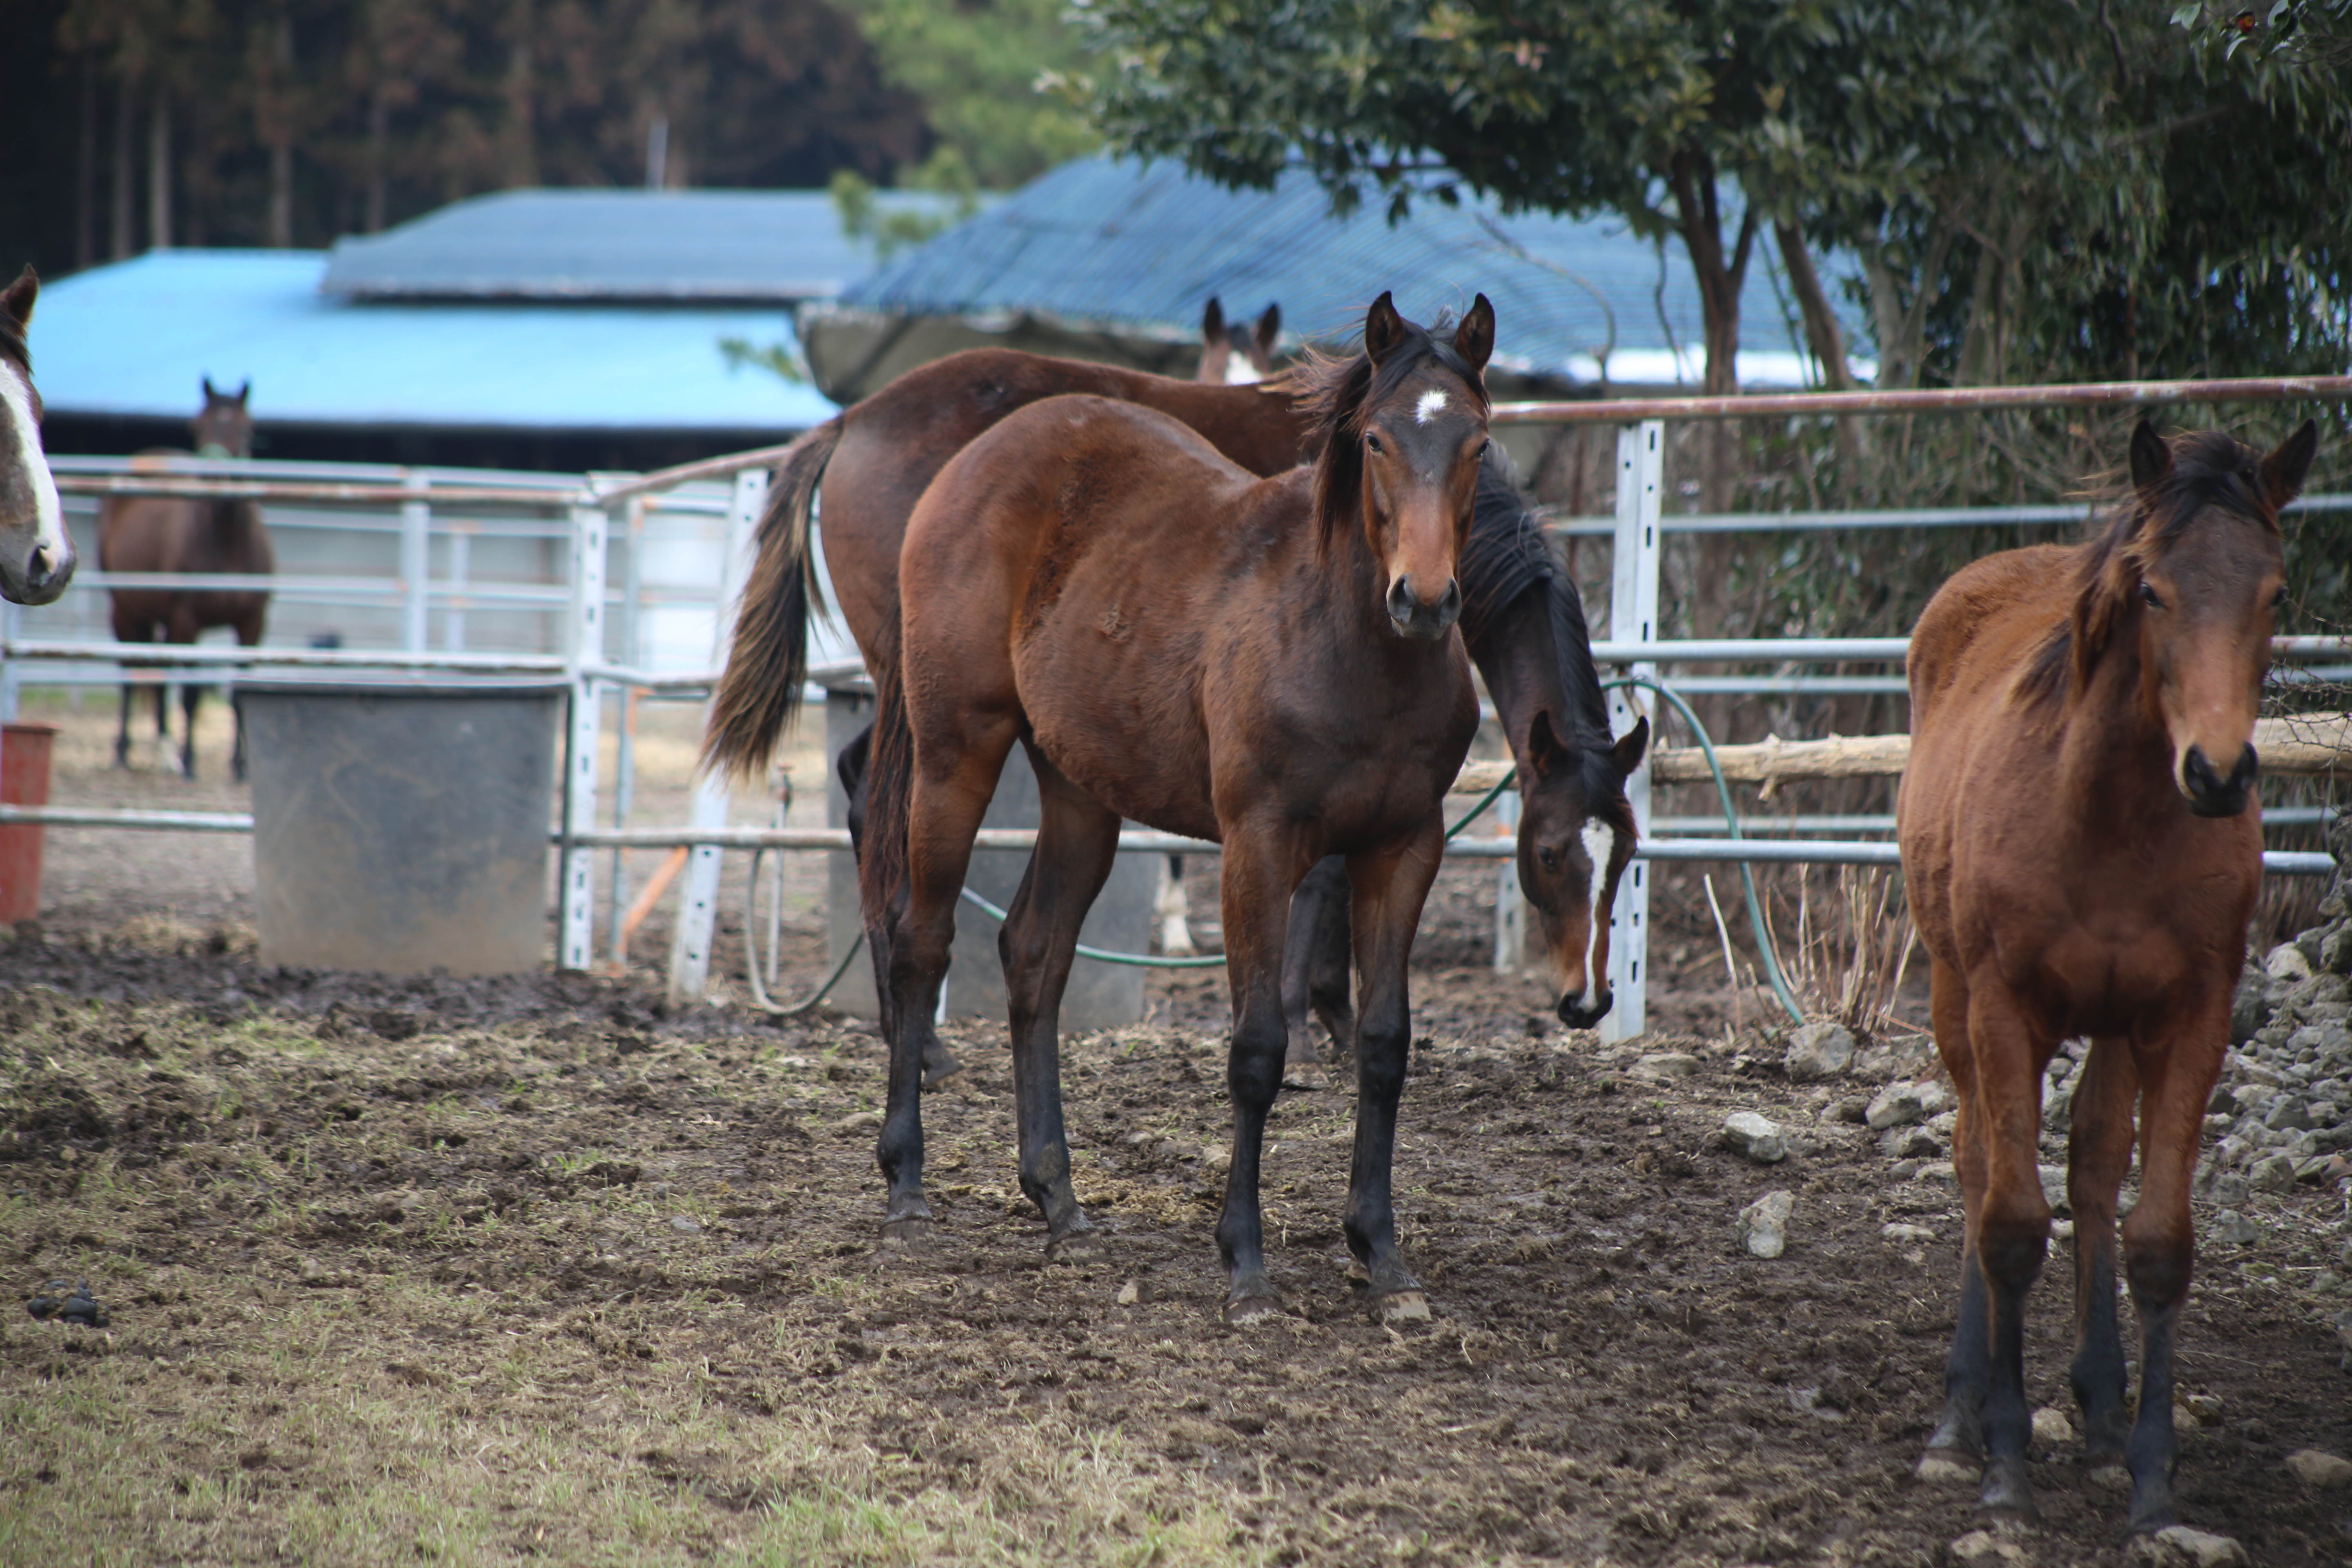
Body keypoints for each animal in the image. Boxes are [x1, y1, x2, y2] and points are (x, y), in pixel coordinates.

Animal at [98, 376, 273, 780]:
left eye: (247, 429)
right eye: (197, 427)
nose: (215, 480)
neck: (228, 540)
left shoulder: (252, 622)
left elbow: (239, 693)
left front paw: (240, 766)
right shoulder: (188, 620)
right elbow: (191, 694)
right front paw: (191, 760)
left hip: (160, 619)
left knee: (158, 678)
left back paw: (165, 752)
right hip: (124, 609)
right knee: (131, 675)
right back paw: (126, 751)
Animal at [1891, 416, 2314, 1542]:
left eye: (2275, 593)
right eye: (2152, 591)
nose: (2217, 772)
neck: (2106, 812)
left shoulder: (2188, 1017)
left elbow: (2154, 1238)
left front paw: (2150, 1478)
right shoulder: (2003, 1010)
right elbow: (2007, 1224)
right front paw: (2001, 1461)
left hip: (2117, 1024)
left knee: (2088, 1157)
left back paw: (2096, 1403)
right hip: (1952, 995)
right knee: (1975, 1161)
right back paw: (1957, 1415)